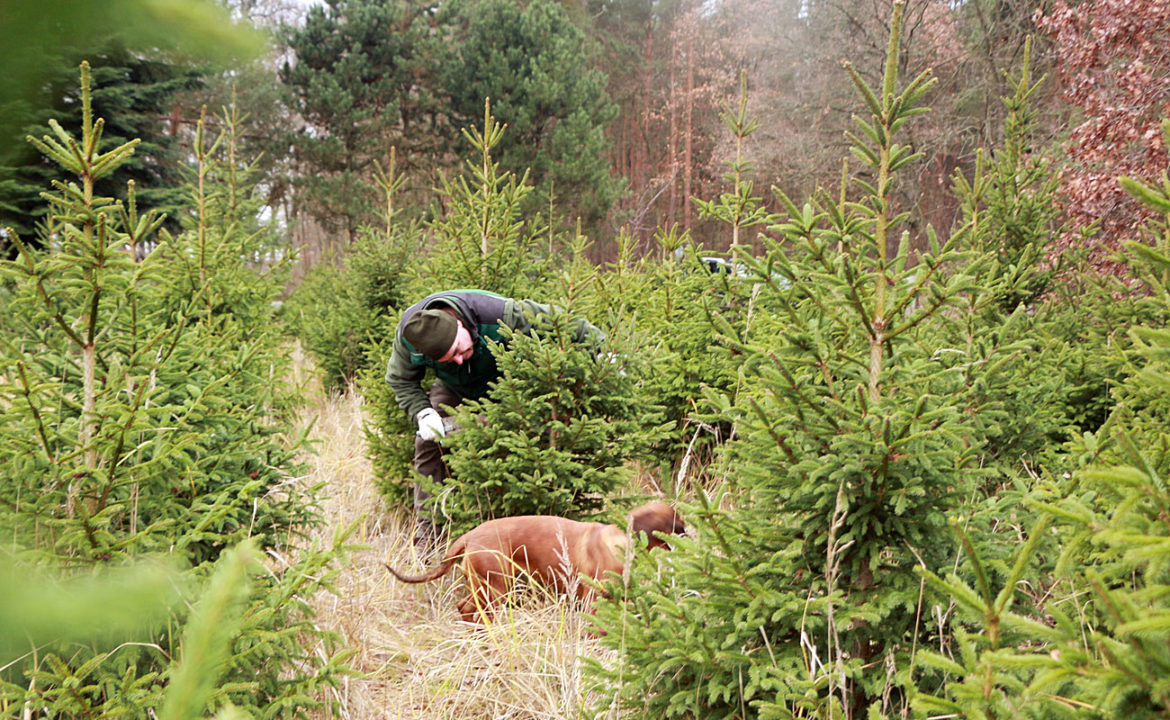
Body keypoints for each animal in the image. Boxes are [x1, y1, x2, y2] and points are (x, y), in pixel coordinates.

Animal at [388, 501, 683, 627]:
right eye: (677, 524)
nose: (688, 535)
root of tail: (470, 536)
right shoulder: (592, 603)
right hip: (496, 588)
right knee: (472, 609)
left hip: (485, 587)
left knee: (464, 607)